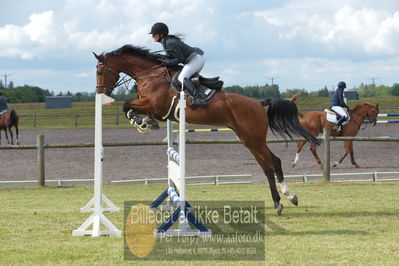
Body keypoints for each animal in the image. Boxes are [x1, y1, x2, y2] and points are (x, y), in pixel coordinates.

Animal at [92, 44, 320, 215]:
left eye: (100, 71)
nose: (100, 92)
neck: (150, 75)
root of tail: (258, 103)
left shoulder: (155, 105)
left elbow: (126, 105)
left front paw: (142, 122)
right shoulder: (152, 106)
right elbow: (130, 107)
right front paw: (146, 123)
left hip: (255, 139)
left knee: (275, 162)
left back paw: (290, 197)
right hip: (248, 140)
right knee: (266, 168)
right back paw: (278, 202)